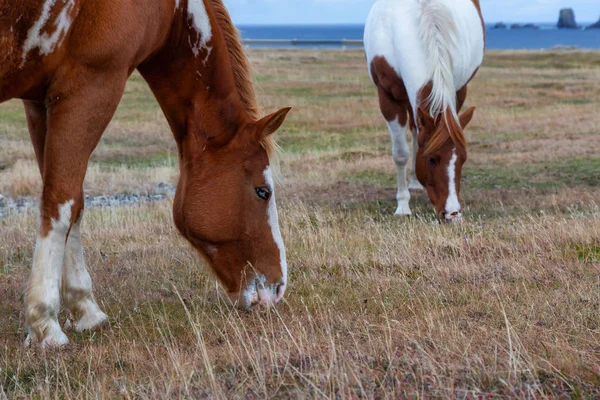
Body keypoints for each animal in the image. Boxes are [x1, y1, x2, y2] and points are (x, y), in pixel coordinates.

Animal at [0, 0, 290, 346]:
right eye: (263, 191)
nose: (278, 288)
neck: (170, 10)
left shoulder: (40, 101)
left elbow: (73, 203)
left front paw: (85, 308)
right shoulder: (89, 87)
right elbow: (62, 203)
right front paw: (45, 323)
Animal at [364, 0, 486, 222]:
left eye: (463, 159)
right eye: (431, 159)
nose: (452, 214)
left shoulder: (456, 89)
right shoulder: (387, 96)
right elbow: (400, 153)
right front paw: (403, 205)